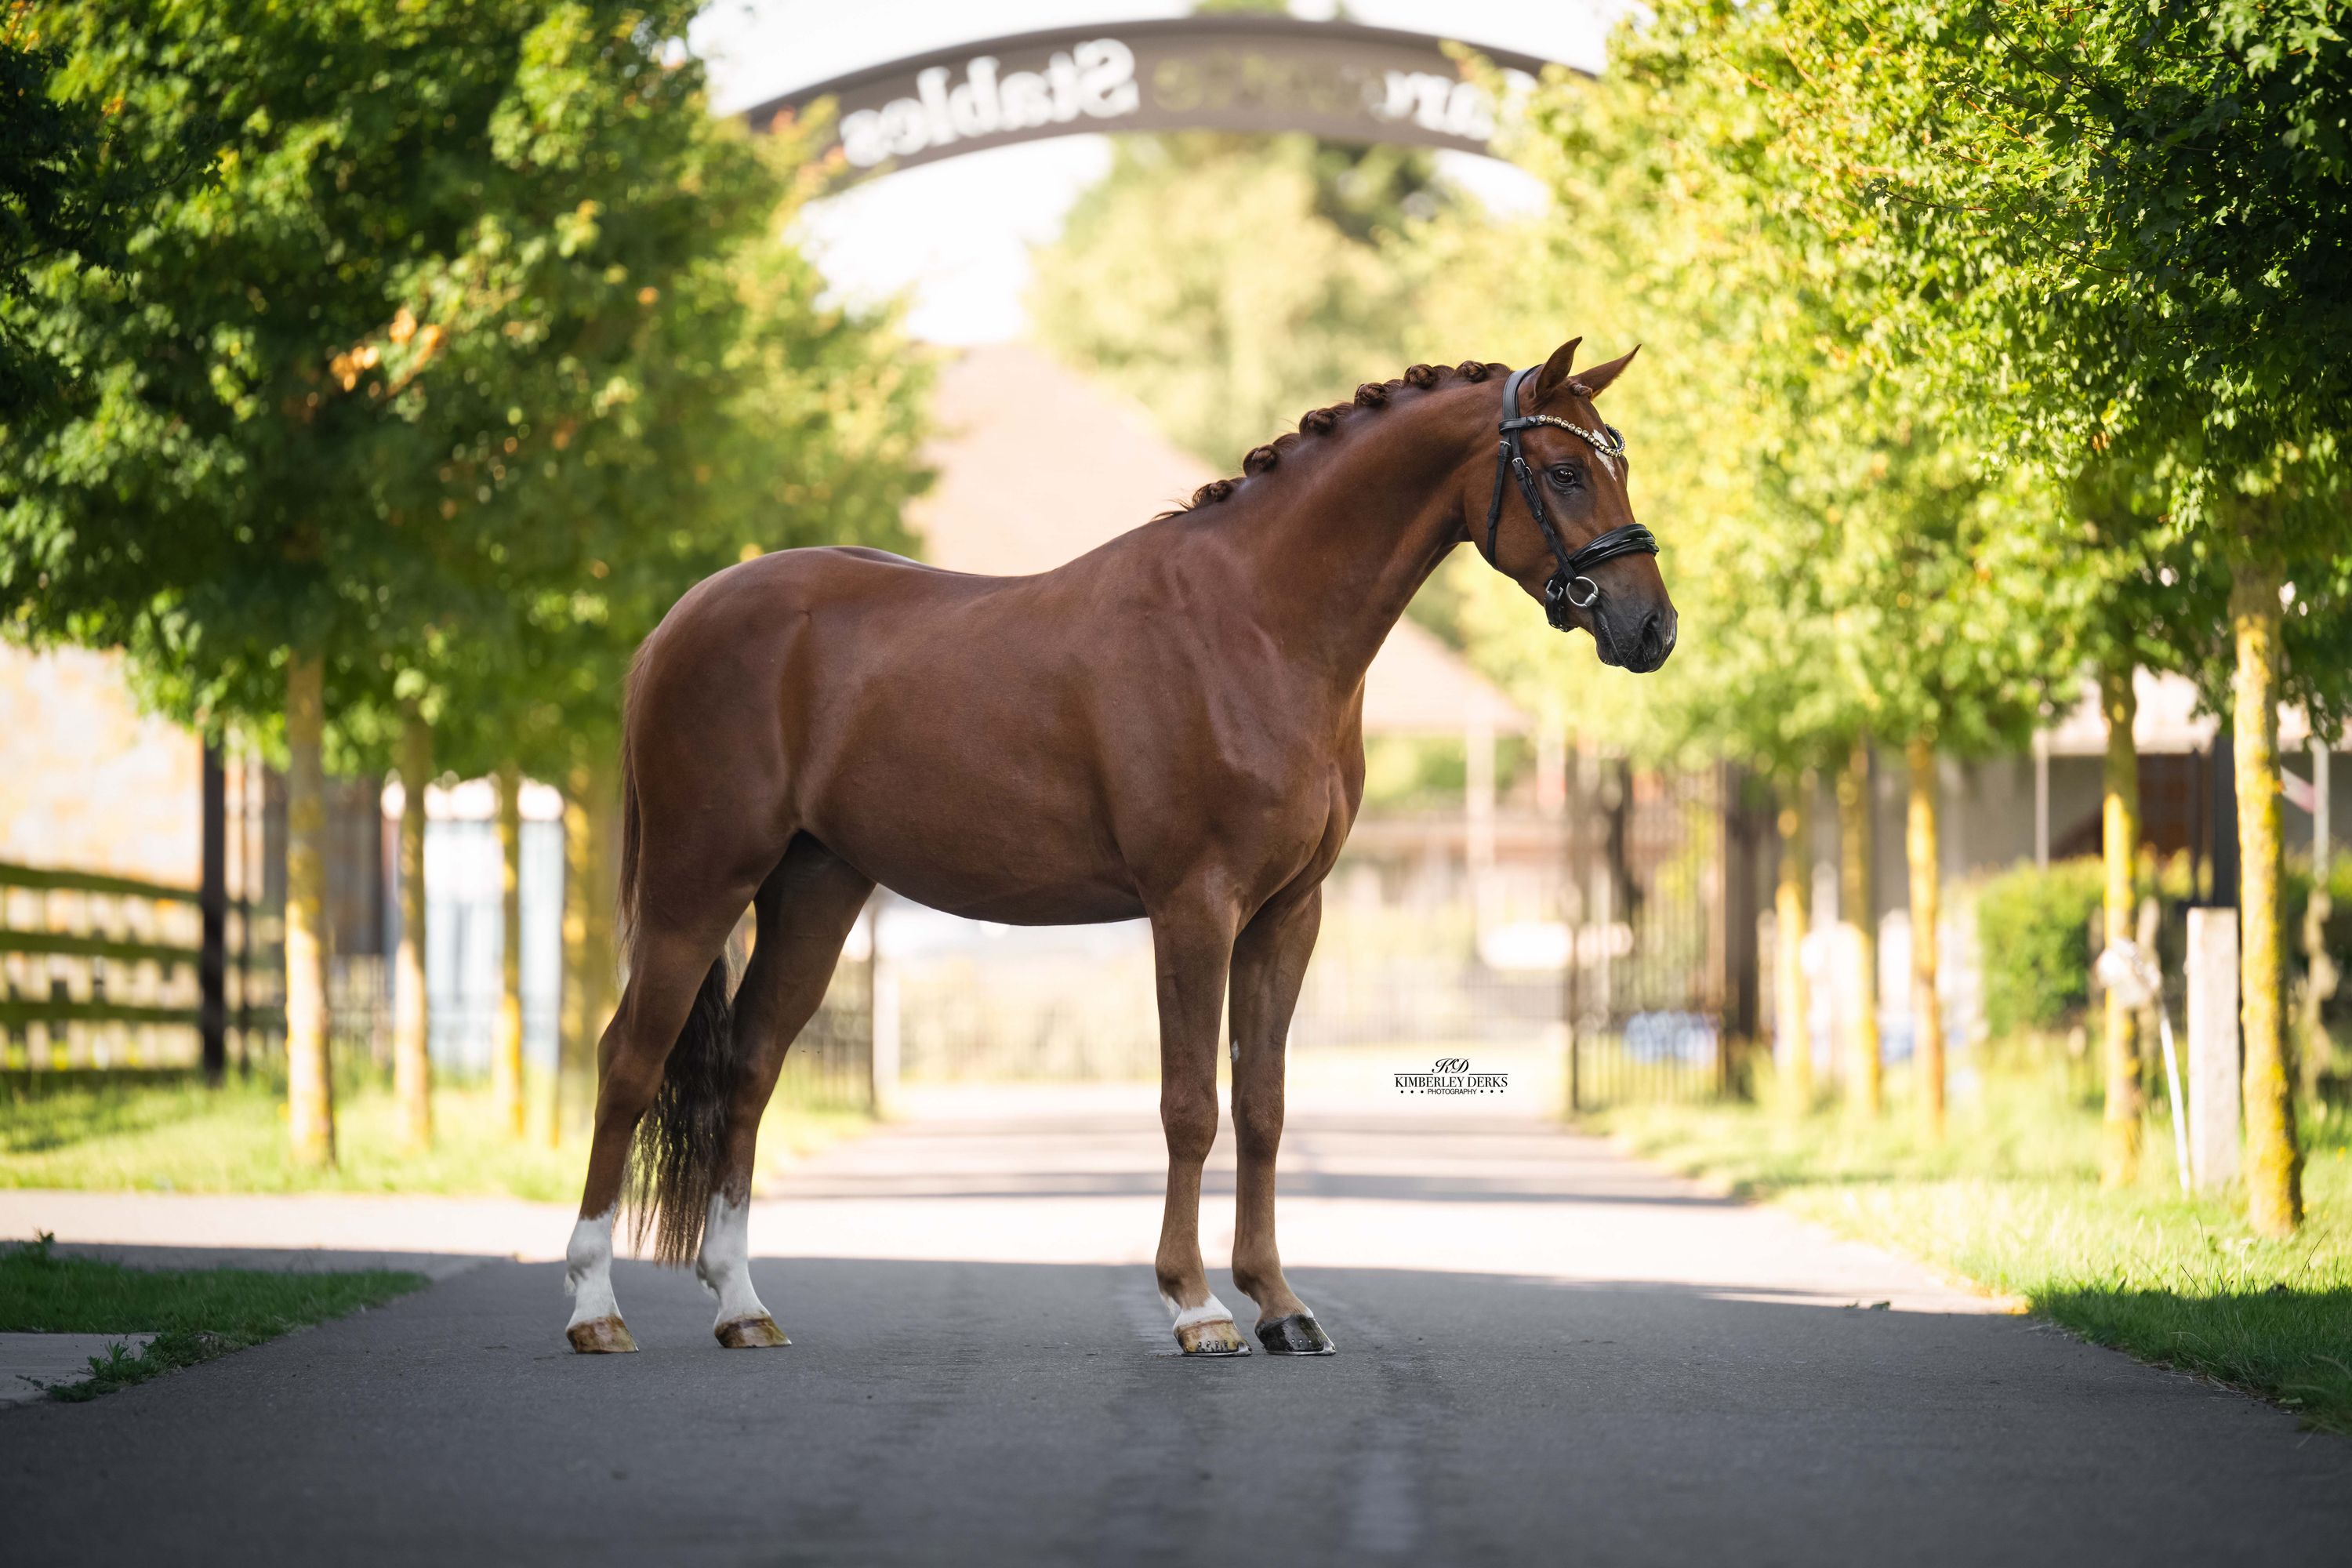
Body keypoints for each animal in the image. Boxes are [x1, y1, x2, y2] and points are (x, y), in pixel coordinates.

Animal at [562, 337, 1676, 1357]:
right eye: (1565, 470)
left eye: (1619, 456)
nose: (1652, 628)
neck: (1254, 623)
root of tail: (678, 622)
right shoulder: (1194, 906)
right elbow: (1191, 1103)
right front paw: (1197, 1304)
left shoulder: (1287, 914)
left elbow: (1263, 1104)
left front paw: (1281, 1303)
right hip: (695, 885)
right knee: (628, 1061)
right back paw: (594, 1306)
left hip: (814, 891)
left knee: (749, 1068)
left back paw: (742, 1306)